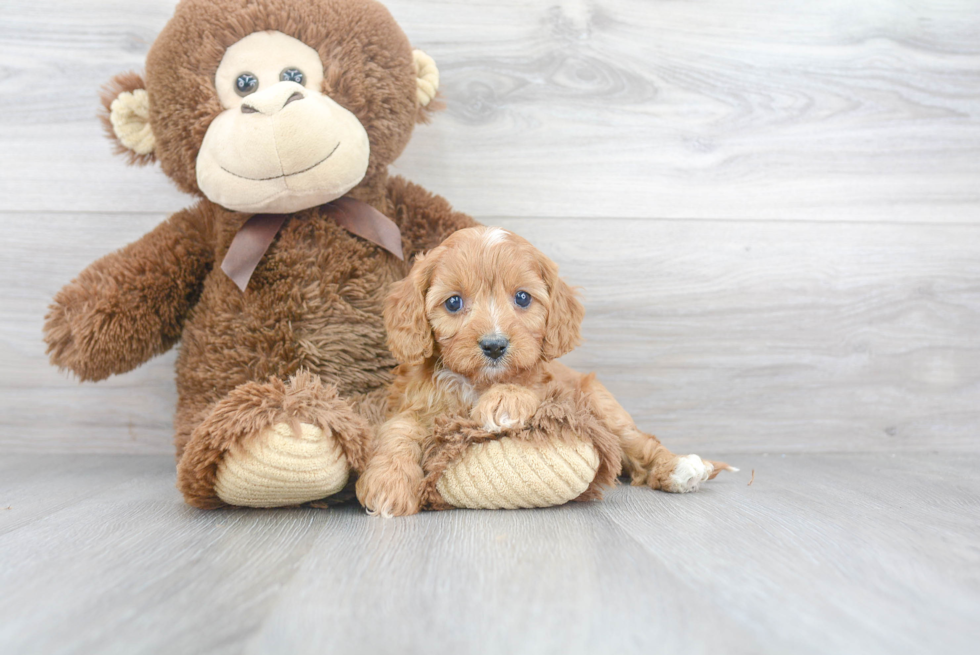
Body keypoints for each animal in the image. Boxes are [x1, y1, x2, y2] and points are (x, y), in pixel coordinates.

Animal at [356, 226, 732, 516]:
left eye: (522, 298)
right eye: (453, 302)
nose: (494, 346)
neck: (477, 383)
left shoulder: (548, 387)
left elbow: (527, 386)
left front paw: (504, 402)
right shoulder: (414, 406)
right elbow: (399, 431)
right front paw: (388, 483)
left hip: (600, 403)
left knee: (637, 441)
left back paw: (681, 468)